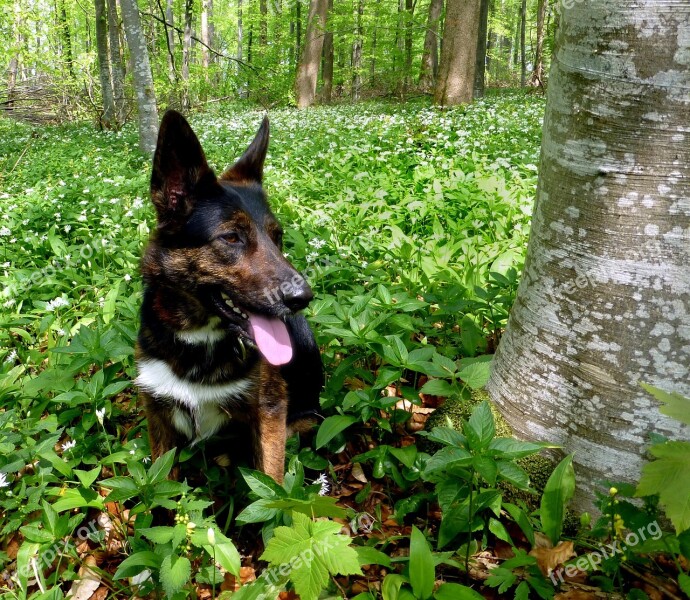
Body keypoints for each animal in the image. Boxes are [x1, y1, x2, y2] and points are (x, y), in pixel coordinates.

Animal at [137, 109, 326, 482]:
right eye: (232, 237)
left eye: (277, 237)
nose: (303, 297)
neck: (199, 338)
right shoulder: (158, 410)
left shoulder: (269, 410)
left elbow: (272, 485)